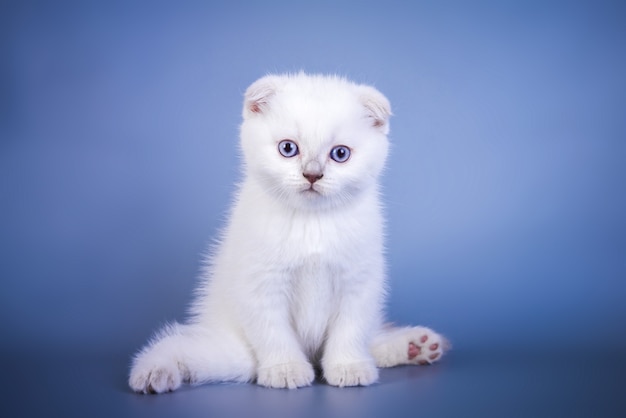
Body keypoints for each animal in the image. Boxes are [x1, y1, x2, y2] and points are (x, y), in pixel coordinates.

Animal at [129, 72, 446, 392]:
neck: (312, 223)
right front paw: (286, 369)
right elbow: (273, 331)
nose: (312, 174)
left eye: (340, 154)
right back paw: (153, 371)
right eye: (288, 148)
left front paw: (348, 366)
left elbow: (350, 328)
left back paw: (417, 346)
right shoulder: (260, 282)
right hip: (234, 352)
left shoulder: (358, 280)